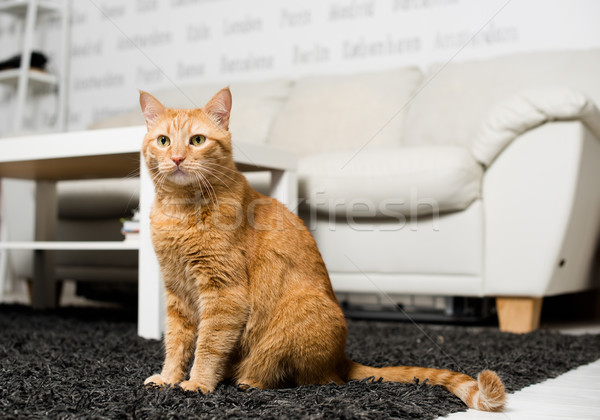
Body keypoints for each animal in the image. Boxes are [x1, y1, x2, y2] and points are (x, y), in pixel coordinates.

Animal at [138, 87, 504, 412]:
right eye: (163, 141)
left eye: (197, 140)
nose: (177, 158)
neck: (179, 211)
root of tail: (342, 358)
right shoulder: (177, 292)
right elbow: (176, 342)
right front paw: (169, 379)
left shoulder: (224, 293)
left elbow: (208, 346)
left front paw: (198, 384)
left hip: (292, 326)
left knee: (304, 379)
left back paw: (248, 382)